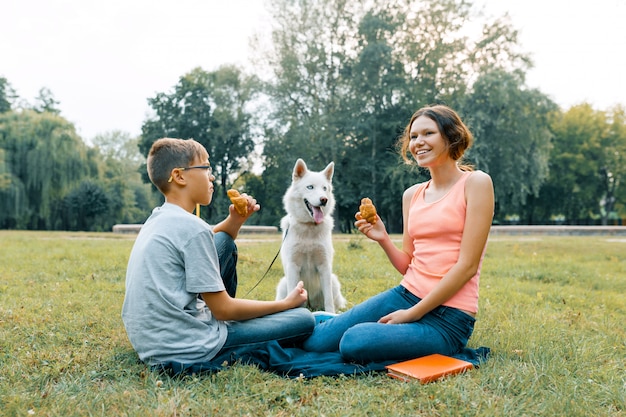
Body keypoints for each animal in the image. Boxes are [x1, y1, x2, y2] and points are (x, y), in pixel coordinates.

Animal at [276, 158, 346, 312]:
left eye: (324, 188)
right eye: (310, 187)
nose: (324, 199)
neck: (309, 228)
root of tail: (310, 305)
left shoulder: (324, 266)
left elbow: (329, 300)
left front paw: (331, 314)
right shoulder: (292, 266)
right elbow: (293, 293)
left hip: (333, 280)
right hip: (283, 283)